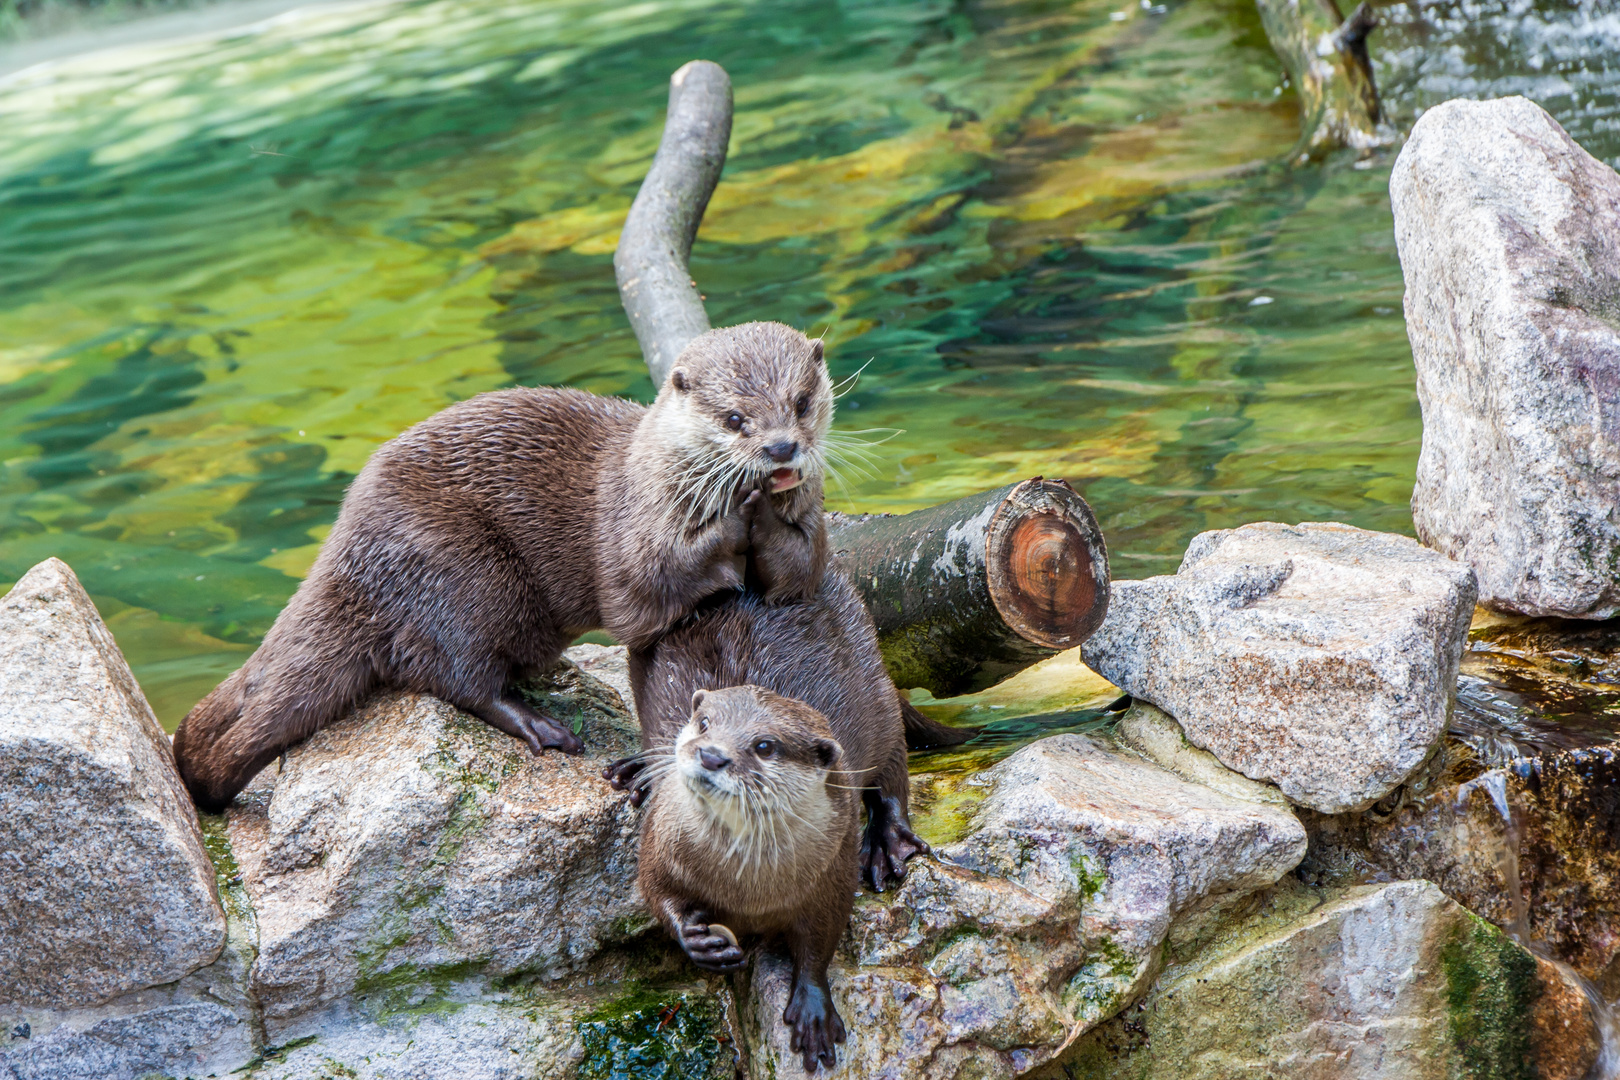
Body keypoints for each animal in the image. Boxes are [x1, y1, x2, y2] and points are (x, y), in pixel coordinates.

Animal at [175, 320, 829, 809]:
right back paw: (540, 725)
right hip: (462, 568)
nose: (780, 447)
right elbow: (648, 588)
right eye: (734, 419)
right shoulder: (631, 535)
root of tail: (342, 555)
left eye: (800, 403)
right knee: (451, 673)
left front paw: (768, 515)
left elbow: (799, 576)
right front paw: (739, 511)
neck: (655, 475)